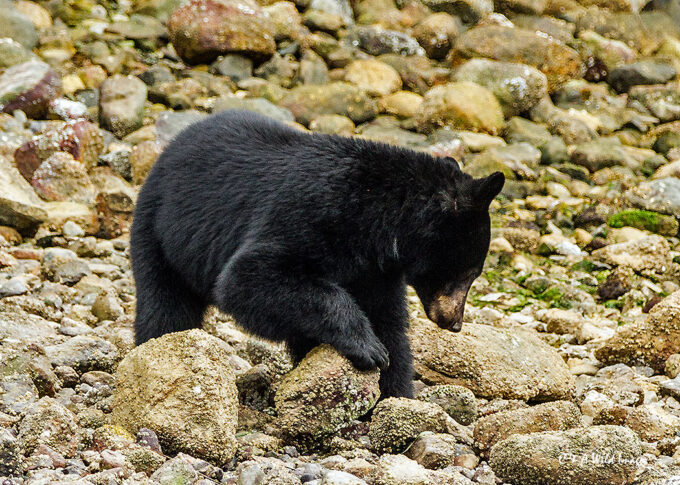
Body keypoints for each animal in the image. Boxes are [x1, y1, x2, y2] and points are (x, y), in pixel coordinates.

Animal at [130, 110, 504, 399]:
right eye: (470, 272)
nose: (454, 323)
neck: (378, 221)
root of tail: (172, 146)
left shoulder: (375, 270)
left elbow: (388, 321)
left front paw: (394, 393)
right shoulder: (310, 212)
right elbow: (249, 278)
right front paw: (368, 348)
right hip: (160, 230)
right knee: (165, 305)